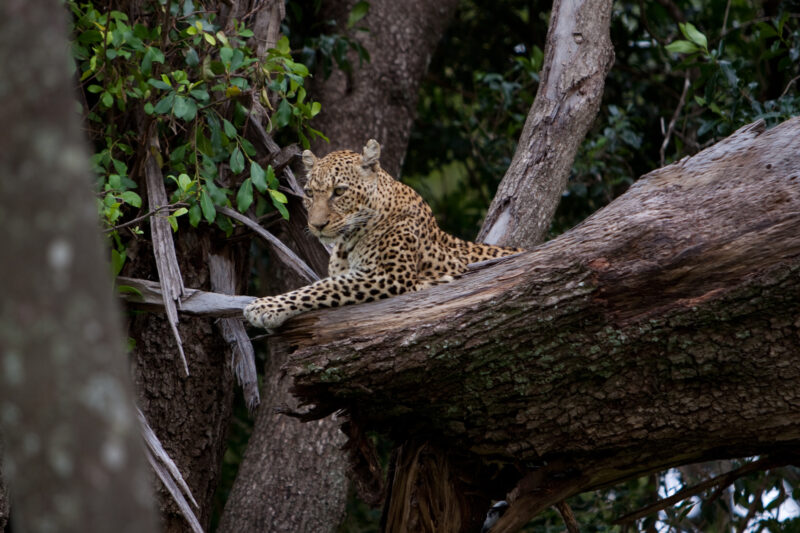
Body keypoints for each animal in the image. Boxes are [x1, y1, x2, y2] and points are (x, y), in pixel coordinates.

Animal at [244, 139, 522, 330]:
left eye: (339, 191)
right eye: (310, 193)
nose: (316, 225)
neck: (348, 241)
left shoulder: (390, 275)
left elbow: (321, 287)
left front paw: (264, 307)